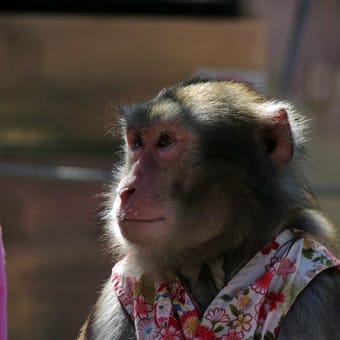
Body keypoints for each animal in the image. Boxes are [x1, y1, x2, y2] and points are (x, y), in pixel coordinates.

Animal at [78, 79, 340, 340]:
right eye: (137, 142)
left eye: (165, 141)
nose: (125, 189)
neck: (210, 259)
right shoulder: (113, 301)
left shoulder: (315, 297)